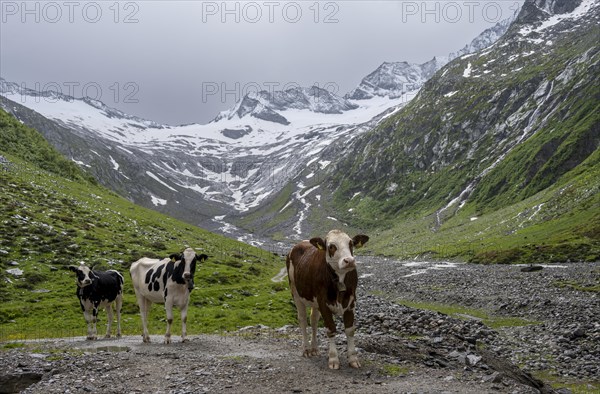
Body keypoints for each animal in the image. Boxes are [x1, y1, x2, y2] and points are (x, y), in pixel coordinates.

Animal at [284, 229, 368, 368]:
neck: (340, 280)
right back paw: (306, 349)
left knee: (313, 320)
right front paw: (333, 359)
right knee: (303, 320)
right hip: (295, 292)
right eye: (331, 246)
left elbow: (350, 330)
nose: (349, 261)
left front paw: (353, 358)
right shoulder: (323, 303)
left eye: (351, 243)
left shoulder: (351, 302)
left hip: (314, 302)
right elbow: (331, 329)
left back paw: (314, 348)